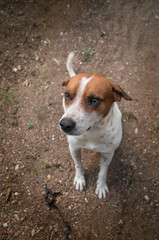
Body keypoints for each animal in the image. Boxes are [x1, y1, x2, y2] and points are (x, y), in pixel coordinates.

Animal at [59, 53, 132, 199]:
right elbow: (78, 165)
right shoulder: (74, 148)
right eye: (67, 96)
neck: (92, 133)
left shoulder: (107, 154)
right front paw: (80, 179)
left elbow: (103, 172)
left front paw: (101, 186)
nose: (65, 124)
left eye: (94, 100)